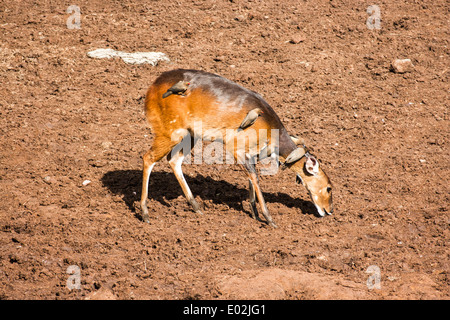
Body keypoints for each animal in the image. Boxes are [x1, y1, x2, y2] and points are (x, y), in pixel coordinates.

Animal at [142, 69, 334, 228]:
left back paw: (197, 207)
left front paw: (255, 214)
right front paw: (269, 219)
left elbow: (251, 178)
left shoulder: (252, 154)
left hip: (190, 134)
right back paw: (145, 213)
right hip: (170, 131)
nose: (329, 210)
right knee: (148, 157)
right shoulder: (236, 146)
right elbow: (254, 177)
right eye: (329, 188)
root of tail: (150, 89)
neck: (270, 129)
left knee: (173, 160)